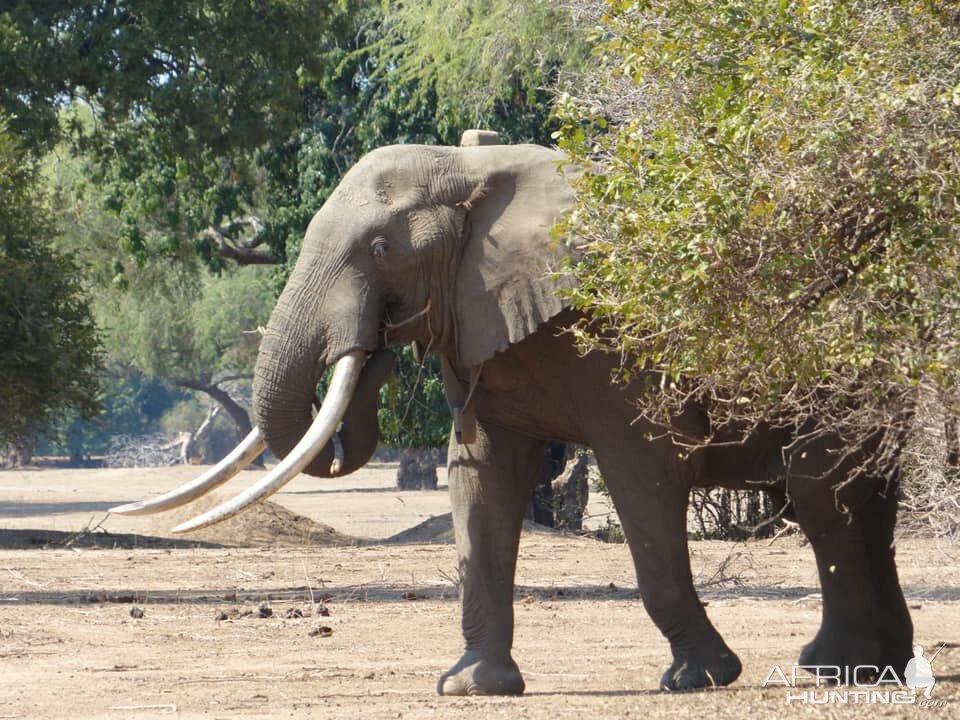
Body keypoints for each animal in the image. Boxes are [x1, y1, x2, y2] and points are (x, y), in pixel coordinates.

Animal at [112, 132, 908, 696]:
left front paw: (698, 679)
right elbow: (481, 479)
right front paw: (470, 686)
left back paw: (830, 669)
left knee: (819, 493)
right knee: (866, 502)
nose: (368, 349)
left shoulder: (613, 340)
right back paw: (878, 669)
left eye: (380, 248)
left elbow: (643, 479)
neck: (473, 171)